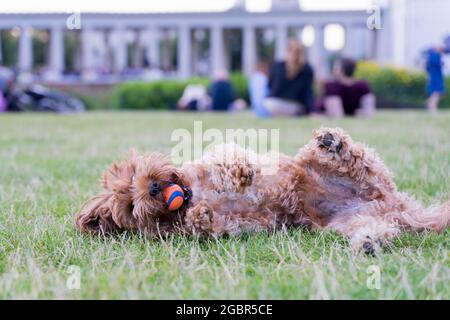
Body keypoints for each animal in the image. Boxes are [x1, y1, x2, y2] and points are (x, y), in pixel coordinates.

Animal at [75, 127, 448, 255]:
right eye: (129, 204)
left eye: (136, 175)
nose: (153, 188)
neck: (195, 192)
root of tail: (393, 203)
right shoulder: (243, 224)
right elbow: (215, 225)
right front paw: (201, 218)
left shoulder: (212, 163)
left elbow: (228, 158)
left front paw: (240, 171)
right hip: (349, 223)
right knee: (381, 230)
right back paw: (370, 242)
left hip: (341, 169)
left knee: (358, 159)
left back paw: (334, 143)